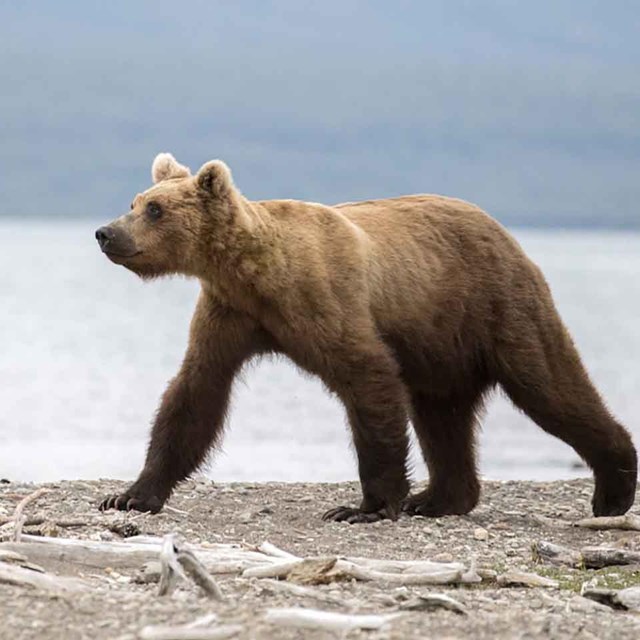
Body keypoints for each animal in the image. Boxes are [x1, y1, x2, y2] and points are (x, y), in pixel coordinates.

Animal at [94, 152, 636, 524]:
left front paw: (365, 506)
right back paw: (438, 499)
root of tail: (503, 230)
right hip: (440, 346)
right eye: (134, 202)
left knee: (550, 386)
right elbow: (195, 392)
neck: (256, 273)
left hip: (495, 305)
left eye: (156, 209)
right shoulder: (231, 315)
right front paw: (130, 494)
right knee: (442, 415)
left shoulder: (324, 300)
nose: (105, 233)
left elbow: (368, 379)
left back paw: (614, 489)